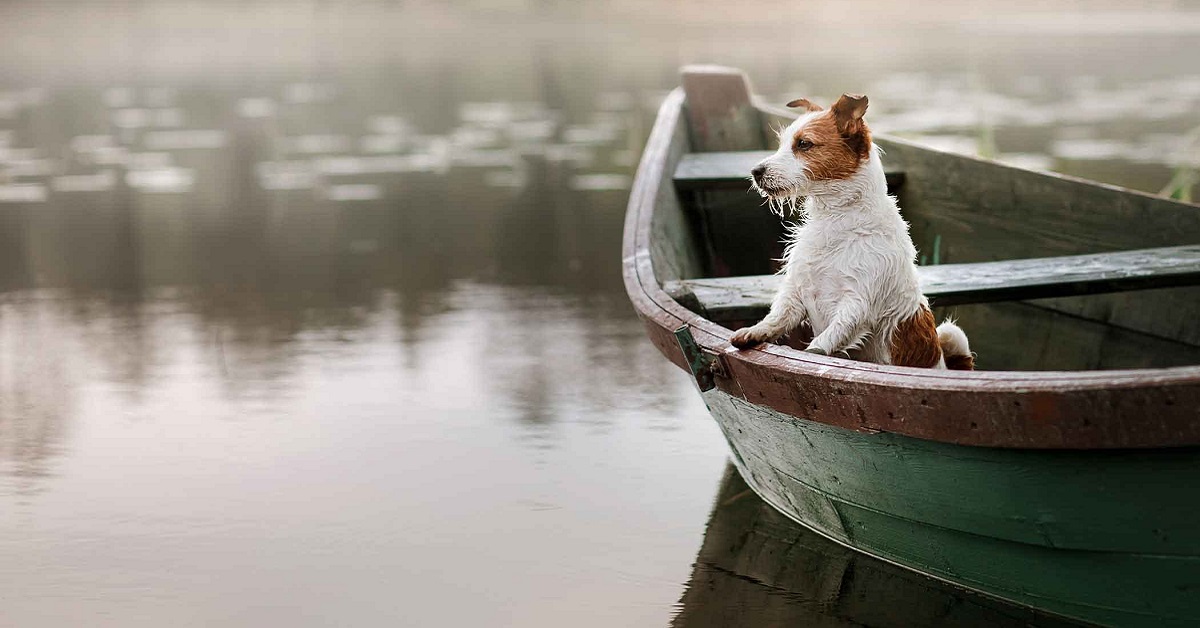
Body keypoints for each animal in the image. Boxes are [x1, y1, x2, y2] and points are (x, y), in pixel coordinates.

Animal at [729, 92, 974, 369]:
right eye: (782, 144)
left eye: (804, 144)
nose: (755, 172)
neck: (837, 218)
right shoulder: (797, 290)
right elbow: (778, 315)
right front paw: (756, 331)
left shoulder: (858, 301)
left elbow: (831, 335)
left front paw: (812, 355)